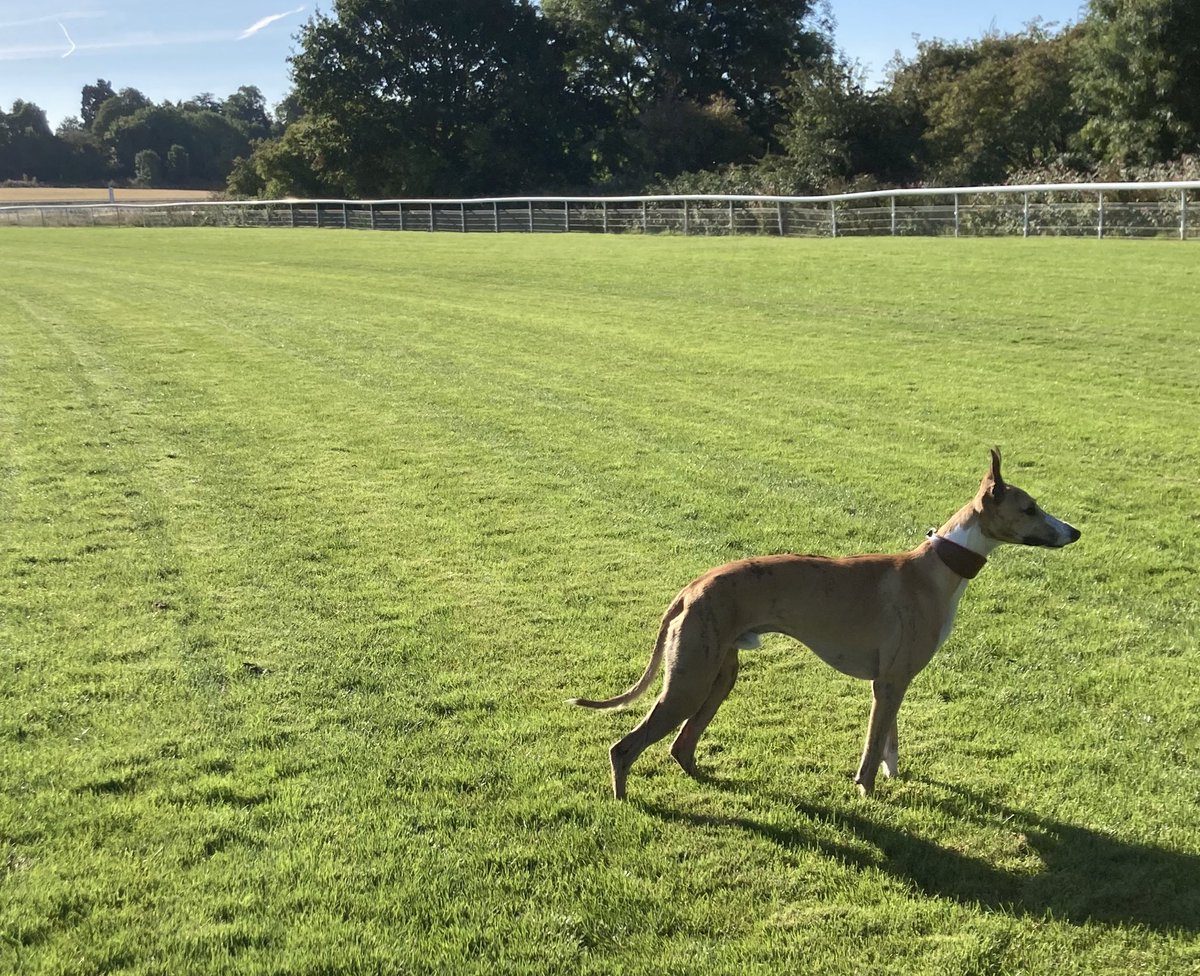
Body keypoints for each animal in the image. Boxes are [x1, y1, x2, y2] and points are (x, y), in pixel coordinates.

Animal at [568, 451, 1080, 801]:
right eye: (1030, 508)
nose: (1075, 532)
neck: (935, 567)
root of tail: (691, 587)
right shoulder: (888, 683)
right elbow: (872, 749)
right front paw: (866, 793)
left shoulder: (893, 681)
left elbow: (889, 742)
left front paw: (892, 778)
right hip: (689, 682)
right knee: (625, 747)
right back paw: (625, 801)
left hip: (719, 675)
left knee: (681, 745)